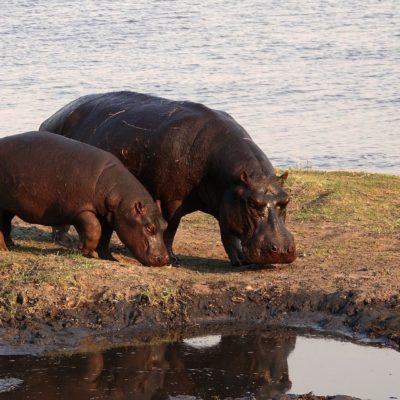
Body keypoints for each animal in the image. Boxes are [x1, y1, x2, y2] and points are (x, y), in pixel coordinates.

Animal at [0, 131, 170, 268]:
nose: (164, 259)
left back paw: (11, 245)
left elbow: (105, 237)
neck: (119, 198)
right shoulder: (83, 210)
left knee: (6, 224)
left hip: (8, 207)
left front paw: (109, 258)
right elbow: (94, 229)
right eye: (149, 227)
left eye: (165, 224)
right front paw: (87, 252)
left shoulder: (109, 217)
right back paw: (4, 249)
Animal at [39, 91, 296, 266]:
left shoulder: (227, 202)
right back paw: (63, 239)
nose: (283, 250)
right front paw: (172, 258)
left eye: (286, 200)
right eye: (253, 203)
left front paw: (238, 260)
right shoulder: (173, 199)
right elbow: (171, 226)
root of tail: (50, 118)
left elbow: (228, 231)